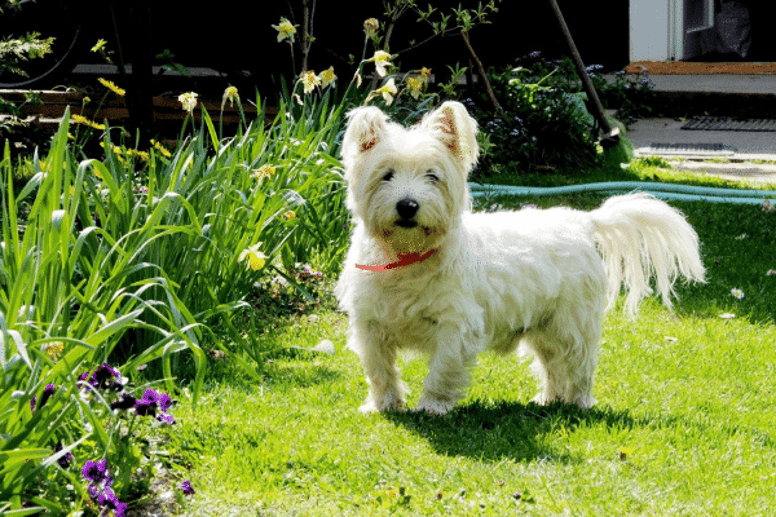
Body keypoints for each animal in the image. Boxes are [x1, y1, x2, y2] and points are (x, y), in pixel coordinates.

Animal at [334, 101, 704, 416]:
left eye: (433, 176)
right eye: (386, 174)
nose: (408, 206)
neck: (406, 258)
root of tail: (583, 221)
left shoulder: (456, 325)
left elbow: (442, 369)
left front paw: (432, 407)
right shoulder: (370, 324)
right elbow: (379, 370)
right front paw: (382, 406)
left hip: (572, 323)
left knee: (579, 364)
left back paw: (578, 403)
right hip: (543, 327)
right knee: (553, 365)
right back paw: (548, 400)